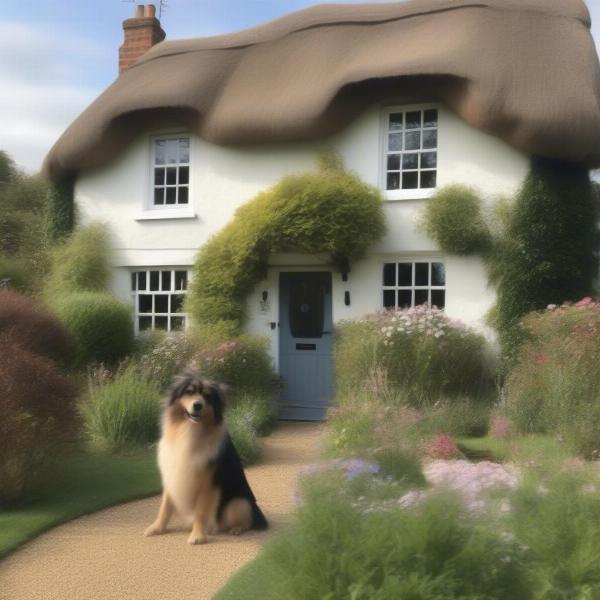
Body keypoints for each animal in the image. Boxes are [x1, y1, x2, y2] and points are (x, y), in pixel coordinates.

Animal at [143, 370, 268, 544]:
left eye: (208, 396)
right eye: (189, 391)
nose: (198, 405)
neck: (188, 430)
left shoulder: (208, 483)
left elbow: (200, 511)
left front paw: (197, 536)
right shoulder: (172, 474)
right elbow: (165, 506)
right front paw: (157, 528)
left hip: (238, 502)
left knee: (246, 520)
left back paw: (236, 529)